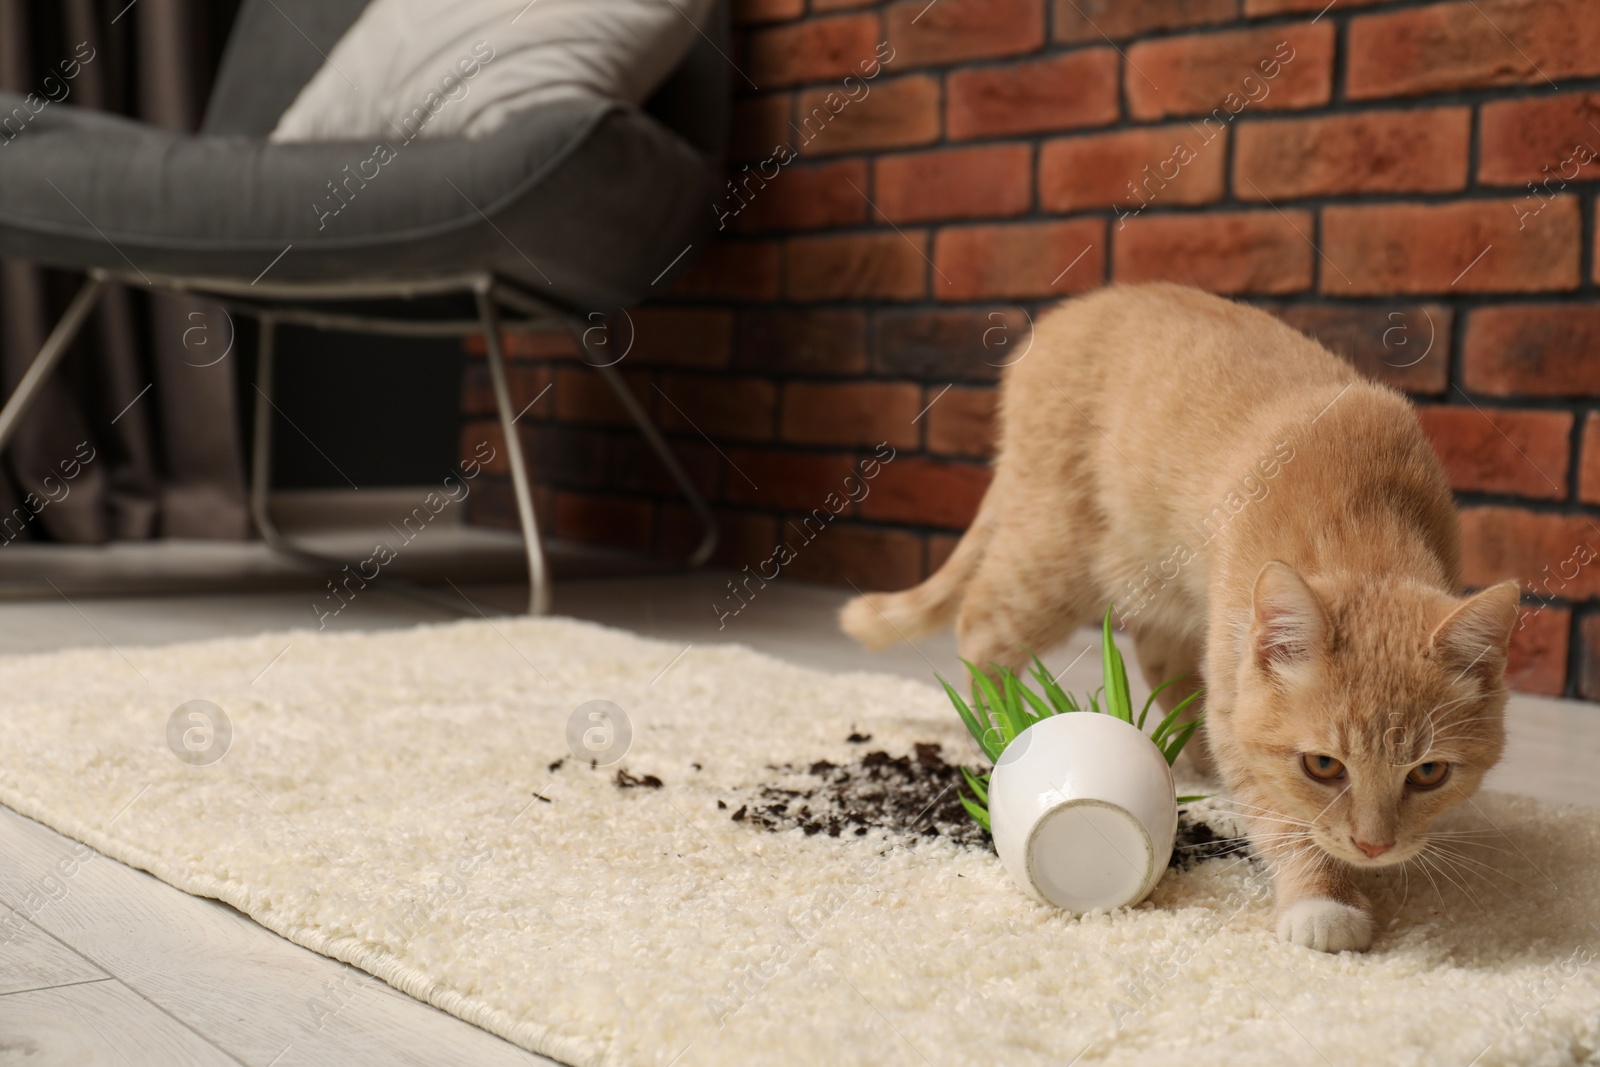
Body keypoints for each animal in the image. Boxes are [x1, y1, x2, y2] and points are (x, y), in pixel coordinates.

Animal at [844, 281, 1516, 953]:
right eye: (1323, 766)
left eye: (1429, 773)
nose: (1374, 846)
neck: (1362, 516)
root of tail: (1066, 316)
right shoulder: (1238, 700)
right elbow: (1280, 813)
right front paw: (1323, 897)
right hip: (1054, 559)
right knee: (982, 624)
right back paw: (995, 725)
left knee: (1156, 654)